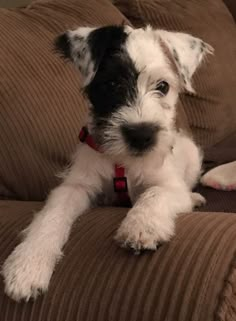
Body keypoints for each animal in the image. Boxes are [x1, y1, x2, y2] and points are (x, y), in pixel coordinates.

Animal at [2, 24, 212, 300]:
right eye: (111, 84)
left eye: (163, 86)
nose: (141, 135)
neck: (122, 161)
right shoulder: (75, 187)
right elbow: (51, 215)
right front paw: (27, 264)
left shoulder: (169, 185)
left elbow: (155, 193)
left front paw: (141, 226)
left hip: (191, 154)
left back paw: (195, 198)